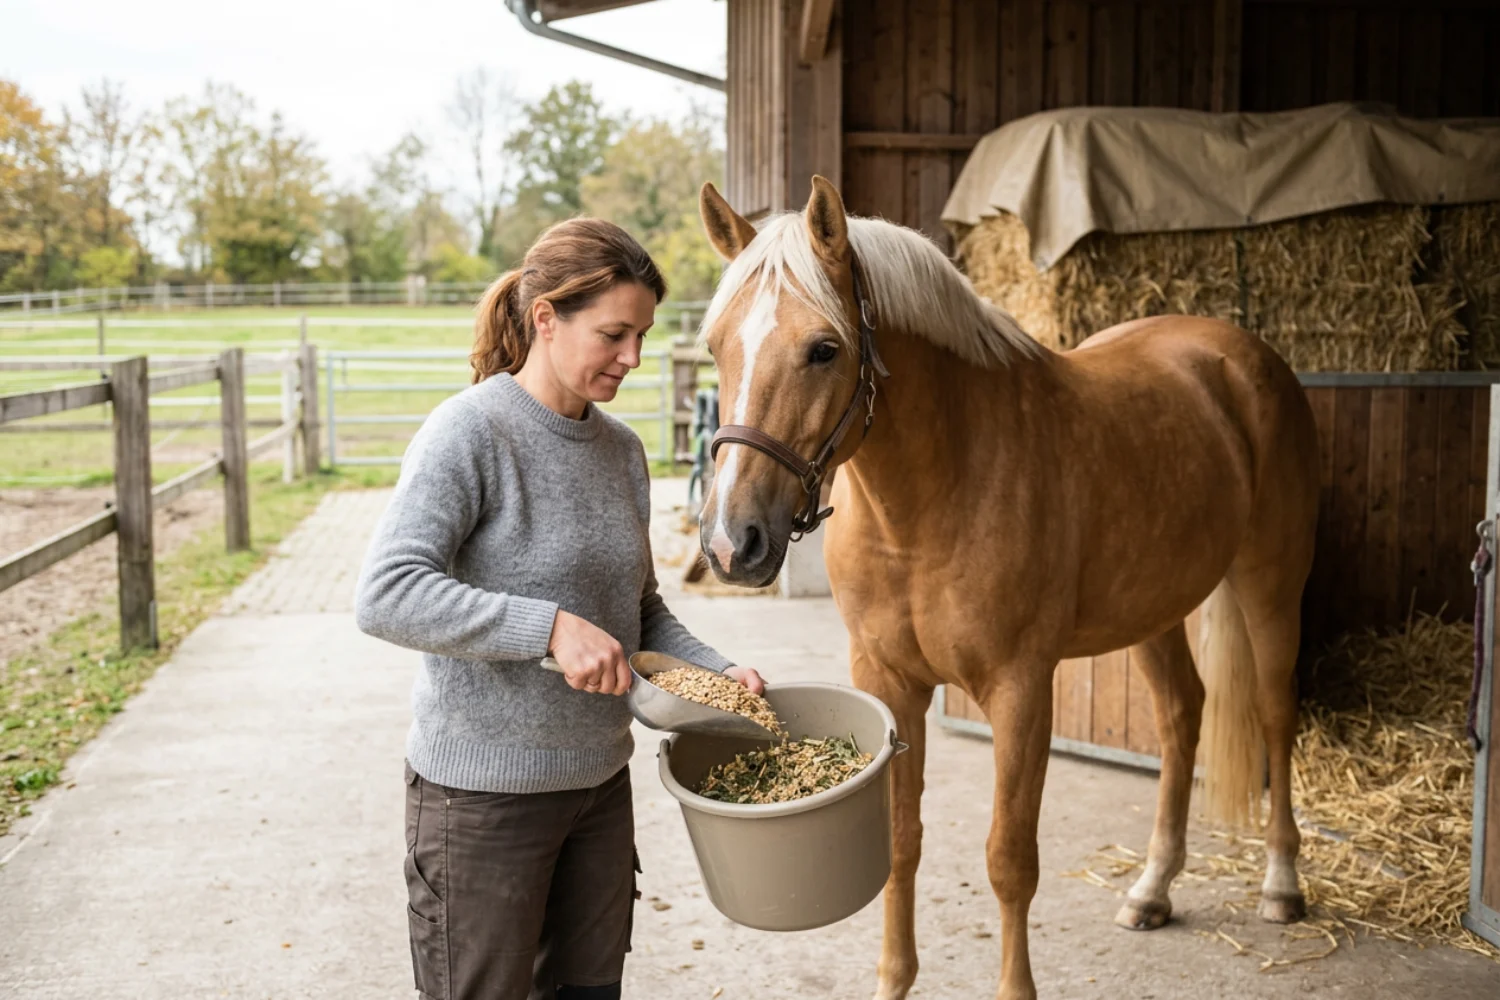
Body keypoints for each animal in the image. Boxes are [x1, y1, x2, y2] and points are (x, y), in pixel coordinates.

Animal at [694, 176, 1320, 1000]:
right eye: (716, 346)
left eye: (823, 349)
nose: (732, 543)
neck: (932, 499)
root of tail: (1239, 355)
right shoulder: (889, 683)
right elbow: (900, 842)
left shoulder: (1021, 691)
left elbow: (1010, 861)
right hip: (1156, 607)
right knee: (1182, 715)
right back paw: (1152, 889)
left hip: (1269, 580)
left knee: (1277, 716)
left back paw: (1282, 882)